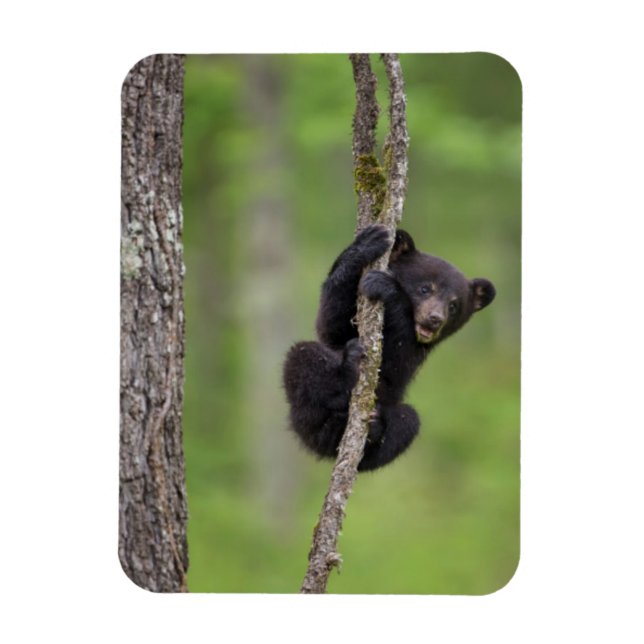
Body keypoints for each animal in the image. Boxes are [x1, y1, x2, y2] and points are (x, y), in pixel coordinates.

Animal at [282, 224, 495, 471]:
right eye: (425, 289)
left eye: (453, 305)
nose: (435, 319)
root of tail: (322, 444)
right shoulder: (341, 326)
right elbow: (331, 324)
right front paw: (367, 244)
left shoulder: (415, 352)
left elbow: (395, 364)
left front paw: (387, 287)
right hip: (305, 415)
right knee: (303, 355)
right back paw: (345, 374)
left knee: (408, 421)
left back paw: (374, 429)